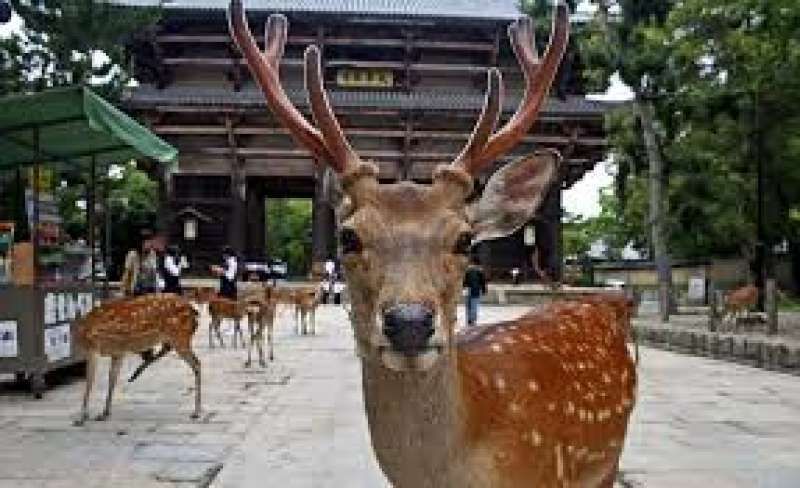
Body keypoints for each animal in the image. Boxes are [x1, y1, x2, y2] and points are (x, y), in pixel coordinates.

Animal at [74, 296, 202, 426]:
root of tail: (194, 312)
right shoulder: (117, 352)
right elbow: (112, 379)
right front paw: (104, 413)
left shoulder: (93, 348)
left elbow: (90, 381)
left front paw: (81, 417)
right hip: (178, 338)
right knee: (181, 356)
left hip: (180, 337)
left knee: (197, 363)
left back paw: (196, 412)